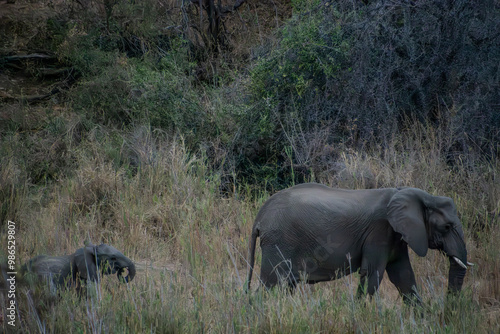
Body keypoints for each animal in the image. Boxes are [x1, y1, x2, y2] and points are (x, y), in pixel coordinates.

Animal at [248, 184, 474, 304]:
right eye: (446, 227)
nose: (448, 307)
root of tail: (259, 217)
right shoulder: (380, 231)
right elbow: (372, 273)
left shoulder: (396, 235)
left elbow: (403, 276)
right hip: (279, 243)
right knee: (271, 284)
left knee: (285, 286)